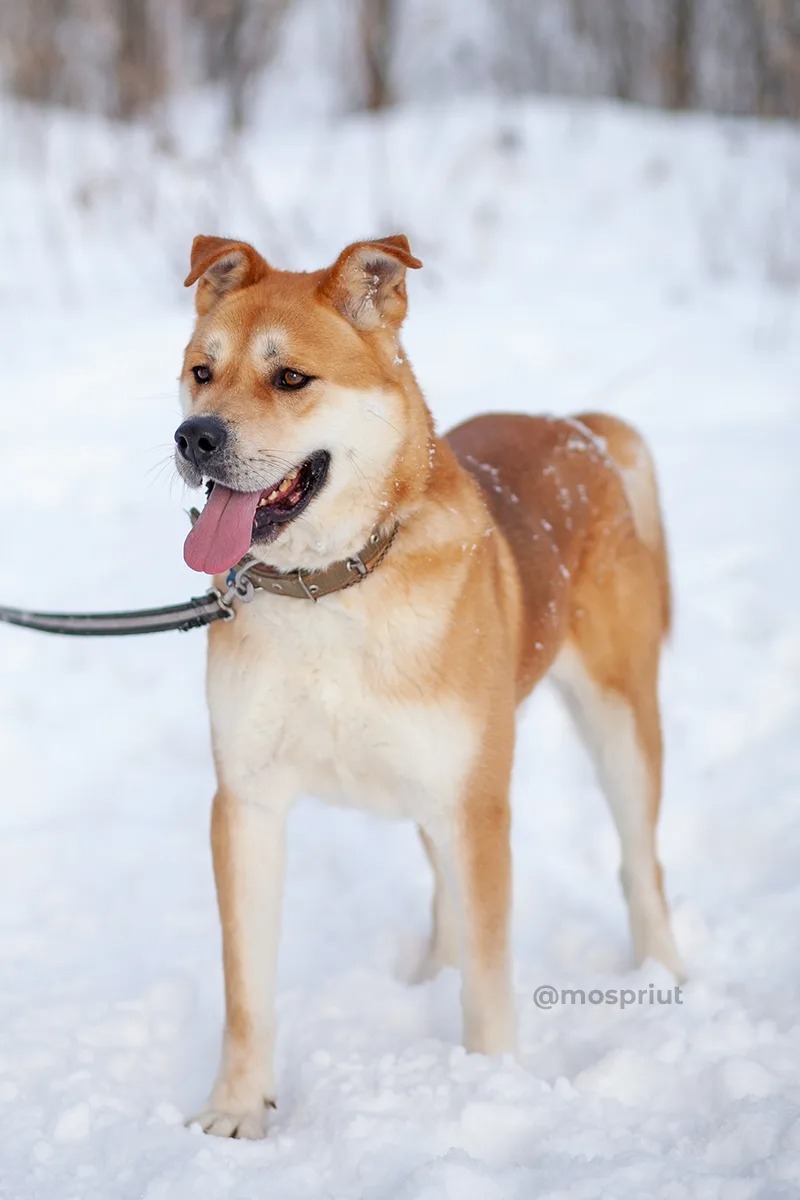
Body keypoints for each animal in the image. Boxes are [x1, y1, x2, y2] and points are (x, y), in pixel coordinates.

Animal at [173, 231, 681, 1132]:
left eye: (290, 377)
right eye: (202, 370)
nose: (192, 437)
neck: (330, 588)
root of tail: (574, 425)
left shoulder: (476, 803)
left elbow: (489, 981)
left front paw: (490, 1093)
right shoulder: (247, 803)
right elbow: (247, 988)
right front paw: (237, 1109)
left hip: (616, 721)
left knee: (639, 867)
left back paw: (667, 974)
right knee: (447, 892)